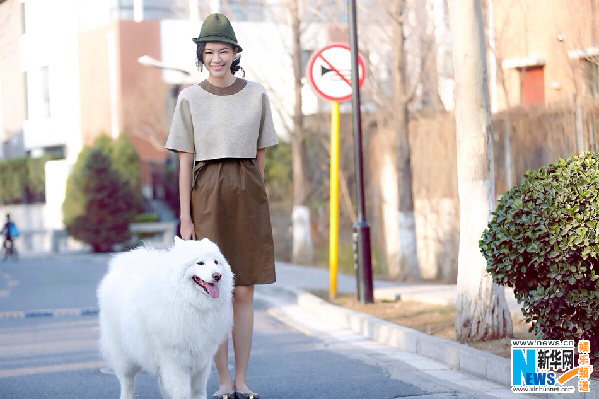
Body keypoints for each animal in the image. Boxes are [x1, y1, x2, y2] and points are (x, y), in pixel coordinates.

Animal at [98, 238, 234, 399]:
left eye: (216, 262)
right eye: (200, 263)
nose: (218, 275)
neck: (188, 301)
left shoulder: (202, 361)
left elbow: (199, 392)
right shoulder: (176, 363)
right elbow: (182, 393)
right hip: (124, 357)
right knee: (127, 383)